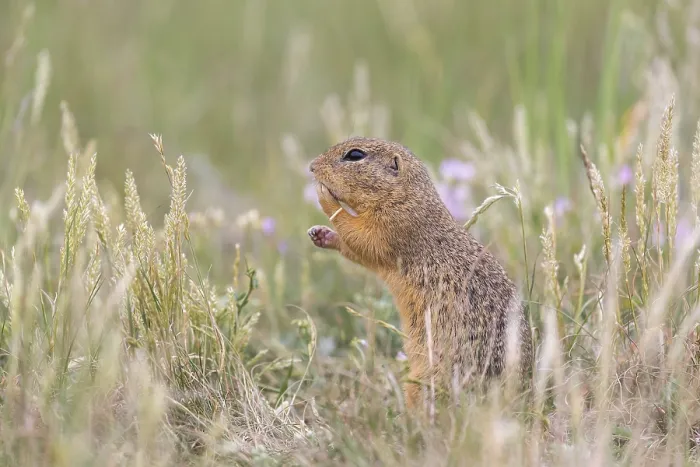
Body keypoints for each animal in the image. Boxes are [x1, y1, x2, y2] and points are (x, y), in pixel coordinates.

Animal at [307, 137, 533, 410]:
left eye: (355, 155)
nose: (311, 166)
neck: (407, 196)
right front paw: (320, 233)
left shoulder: (394, 224)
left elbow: (362, 238)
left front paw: (324, 196)